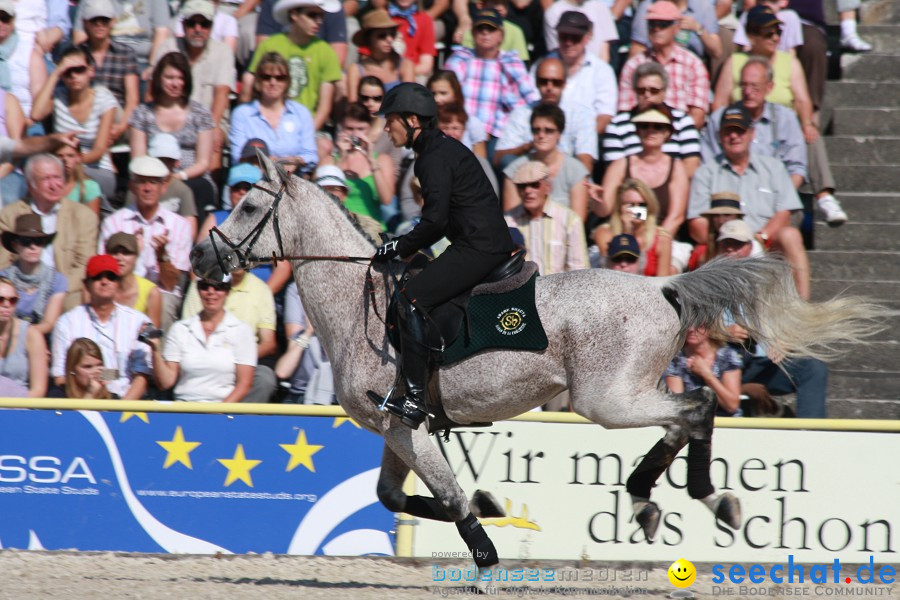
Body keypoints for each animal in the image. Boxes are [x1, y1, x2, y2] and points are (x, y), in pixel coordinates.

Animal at [192, 154, 884, 572]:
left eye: (248, 208)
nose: (199, 260)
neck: (360, 306)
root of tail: (663, 286)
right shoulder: (398, 428)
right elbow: (395, 496)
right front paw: (493, 505)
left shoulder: (404, 425)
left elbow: (448, 497)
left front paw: (487, 552)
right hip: (618, 397)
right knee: (684, 418)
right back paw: (658, 500)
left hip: (608, 400)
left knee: (697, 406)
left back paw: (694, 496)